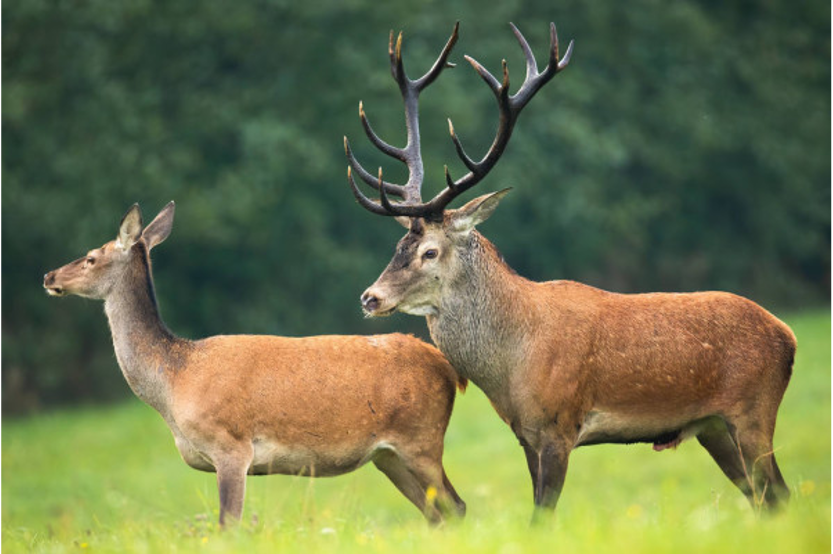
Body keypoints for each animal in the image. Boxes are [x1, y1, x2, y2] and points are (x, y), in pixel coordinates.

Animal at [43, 201, 468, 526]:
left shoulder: (231, 446)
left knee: (456, 506)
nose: (49, 275)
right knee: (437, 512)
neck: (174, 379)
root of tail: (445, 366)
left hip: (422, 438)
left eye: (91, 257)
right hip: (389, 456)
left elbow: (228, 524)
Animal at [343, 21, 795, 518]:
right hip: (713, 426)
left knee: (780, 491)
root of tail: (787, 334)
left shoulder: (560, 424)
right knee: (764, 496)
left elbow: (543, 514)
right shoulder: (525, 434)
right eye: (398, 244)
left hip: (754, 410)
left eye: (429, 251)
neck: (512, 364)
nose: (371, 297)